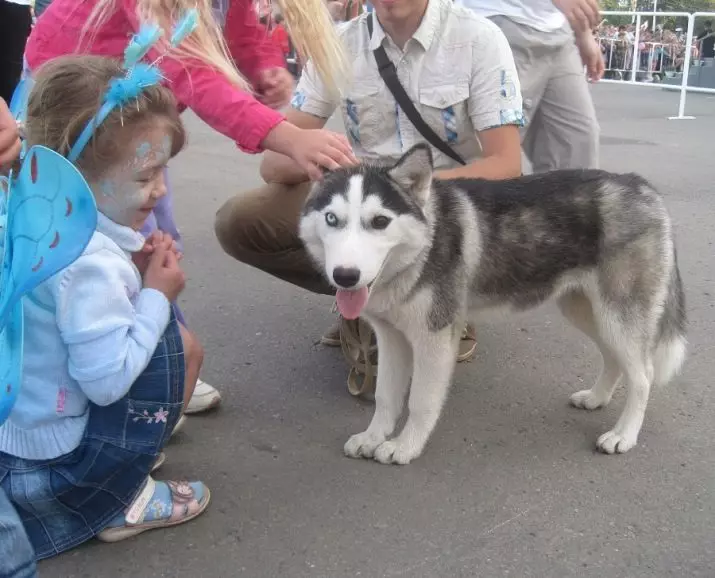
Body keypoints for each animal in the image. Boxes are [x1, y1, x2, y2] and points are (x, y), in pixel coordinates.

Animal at [298, 144, 688, 464]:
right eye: (332, 219)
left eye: (380, 221)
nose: (345, 276)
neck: (423, 248)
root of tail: (640, 185)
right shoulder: (392, 338)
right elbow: (386, 397)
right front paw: (373, 437)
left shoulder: (435, 338)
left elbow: (420, 401)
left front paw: (405, 446)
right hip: (588, 312)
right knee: (614, 358)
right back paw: (597, 397)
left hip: (618, 316)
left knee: (643, 376)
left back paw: (624, 435)